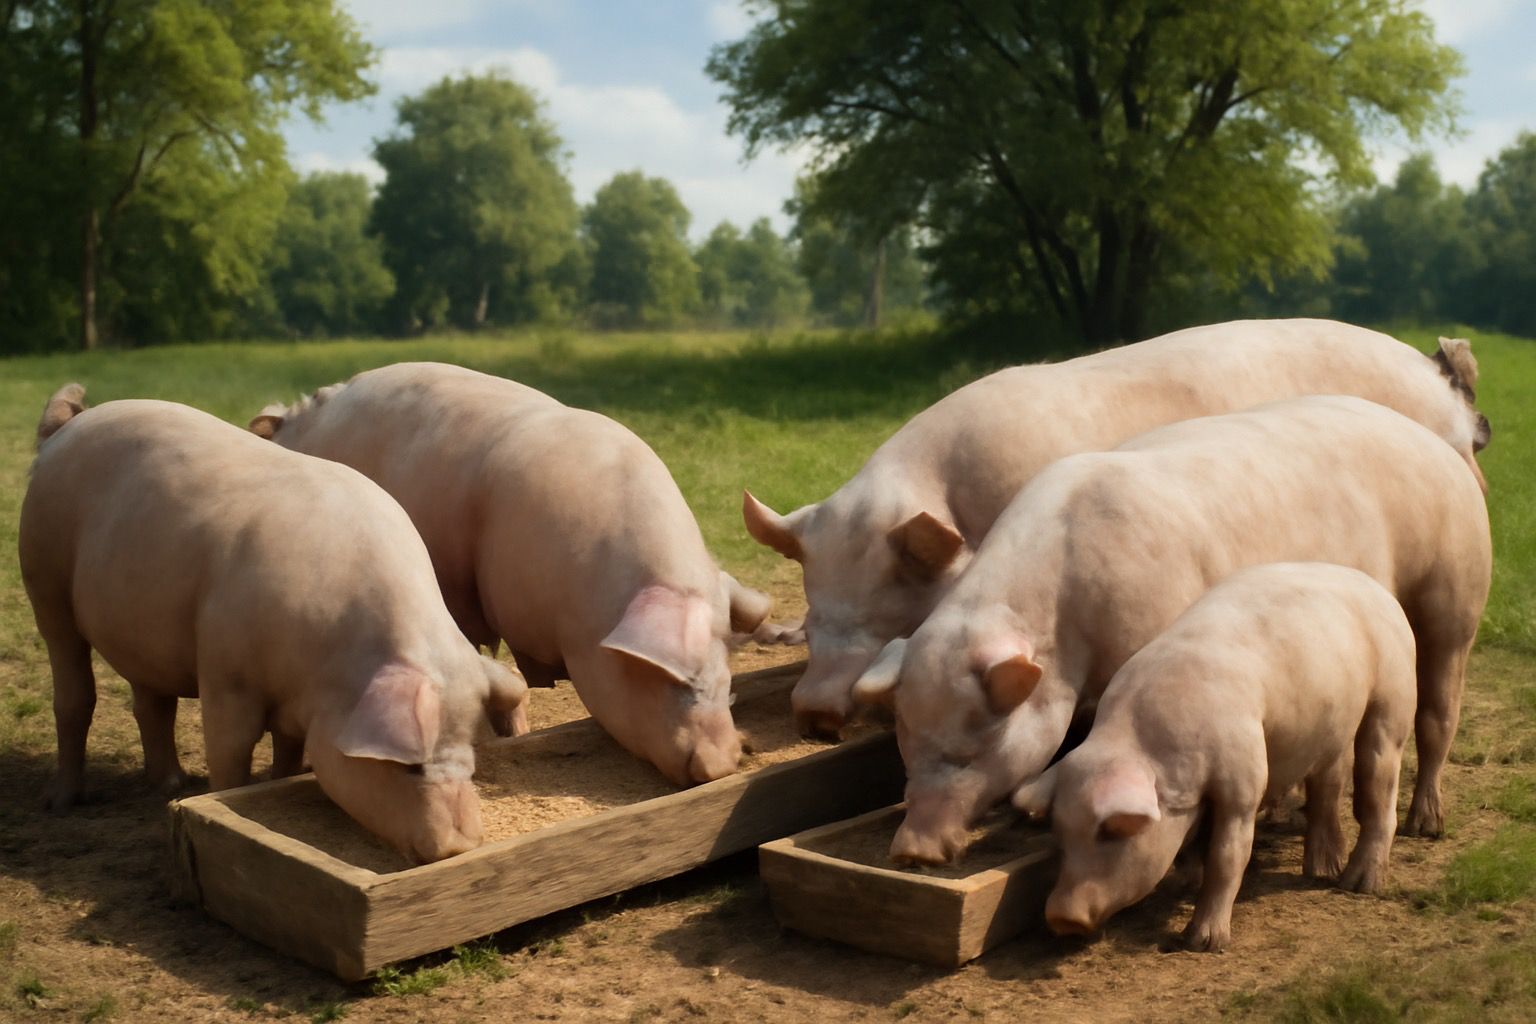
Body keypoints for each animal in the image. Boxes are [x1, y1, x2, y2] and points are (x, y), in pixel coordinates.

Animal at [19, 385, 529, 864]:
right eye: (410, 768)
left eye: (469, 755)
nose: (459, 846)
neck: (326, 671)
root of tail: (69, 426)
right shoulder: (224, 672)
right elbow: (231, 753)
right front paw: (223, 798)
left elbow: (287, 752)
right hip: (43, 577)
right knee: (73, 692)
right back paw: (61, 803)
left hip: (140, 631)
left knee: (150, 705)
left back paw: (172, 784)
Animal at [851, 395, 1490, 864]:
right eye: (908, 747)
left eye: (968, 751)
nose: (911, 851)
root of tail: (1439, 443)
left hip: (1455, 594)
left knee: (1439, 708)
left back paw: (1427, 824)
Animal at [1013, 563, 1416, 952]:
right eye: (1061, 832)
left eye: (1111, 831)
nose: (1061, 916)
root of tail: (1377, 589)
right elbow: (1192, 847)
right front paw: (1185, 884)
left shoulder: (1243, 783)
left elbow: (1227, 857)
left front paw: (1203, 943)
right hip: (1330, 728)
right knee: (1327, 788)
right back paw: (1321, 872)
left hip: (1393, 697)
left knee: (1380, 778)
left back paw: (1358, 884)